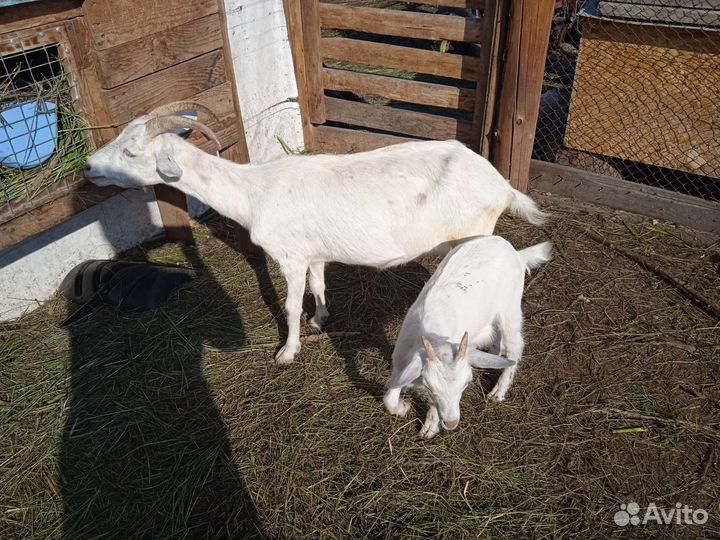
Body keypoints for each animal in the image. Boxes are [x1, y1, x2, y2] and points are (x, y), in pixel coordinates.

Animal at [84, 101, 548, 364]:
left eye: (131, 153)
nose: (88, 166)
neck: (254, 191)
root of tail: (501, 185)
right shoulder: (313, 253)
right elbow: (318, 283)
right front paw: (321, 318)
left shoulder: (288, 255)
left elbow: (290, 305)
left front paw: (287, 352)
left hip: (475, 234)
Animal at [383, 236, 552, 439]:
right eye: (430, 387)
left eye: (466, 385)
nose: (451, 423)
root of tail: (515, 252)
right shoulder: (401, 362)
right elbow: (389, 398)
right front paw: (403, 408)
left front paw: (429, 426)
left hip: (510, 308)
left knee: (515, 346)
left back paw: (498, 391)